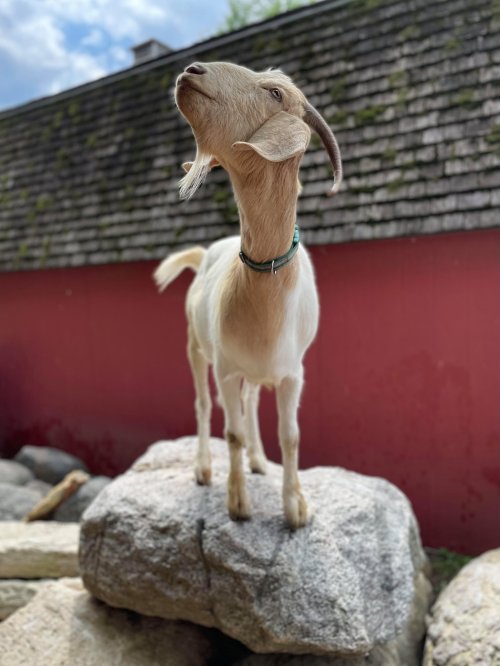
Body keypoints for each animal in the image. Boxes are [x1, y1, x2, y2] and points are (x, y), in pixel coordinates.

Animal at [154, 62, 342, 528]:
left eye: (275, 93)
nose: (191, 69)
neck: (265, 286)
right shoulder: (225, 366)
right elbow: (232, 431)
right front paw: (238, 504)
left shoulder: (293, 372)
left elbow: (290, 436)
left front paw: (295, 507)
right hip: (195, 346)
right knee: (204, 405)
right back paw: (205, 468)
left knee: (252, 400)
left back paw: (259, 461)